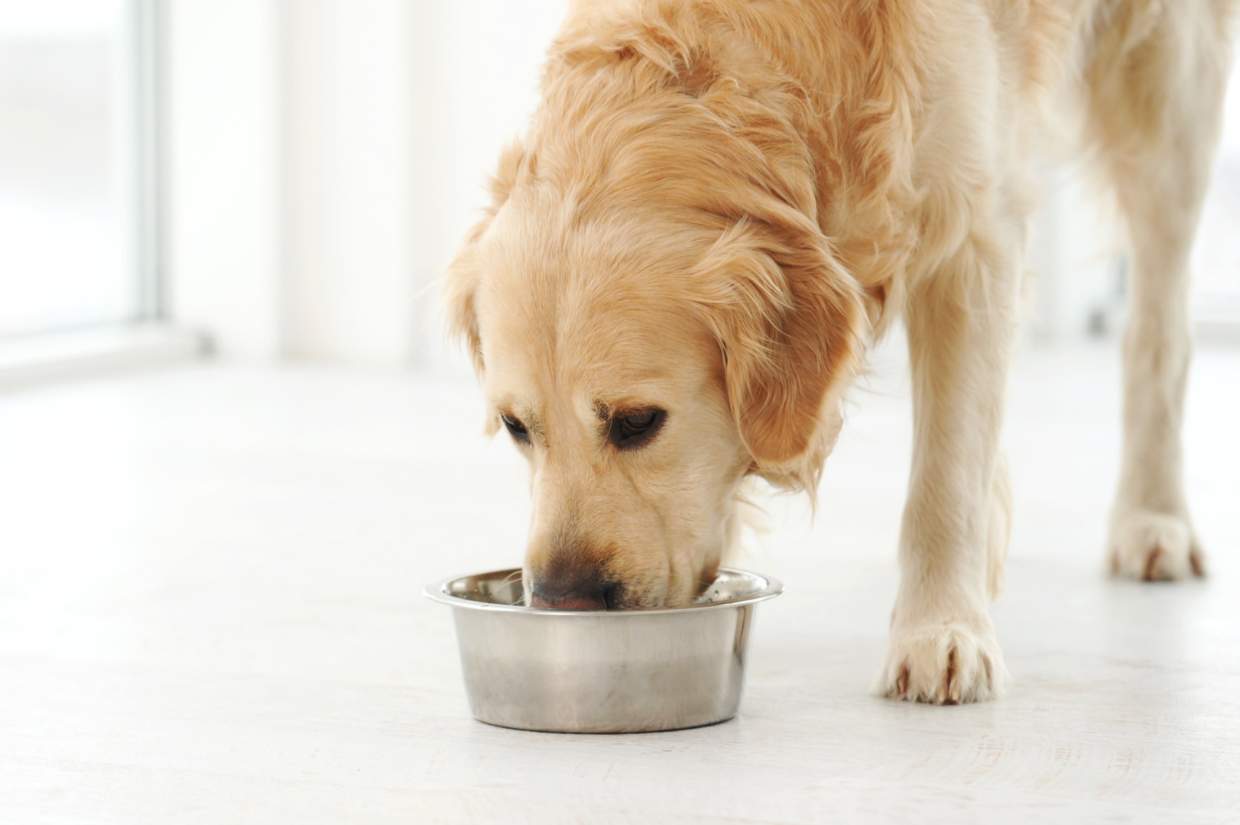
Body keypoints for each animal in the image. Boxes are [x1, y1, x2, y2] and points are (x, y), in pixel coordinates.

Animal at [441, 0, 1235, 699]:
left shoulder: (973, 238)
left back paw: (1154, 520)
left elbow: (945, 477)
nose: (561, 602)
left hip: (1170, 97)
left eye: (638, 422)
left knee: (1159, 331)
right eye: (515, 427)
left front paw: (941, 631)